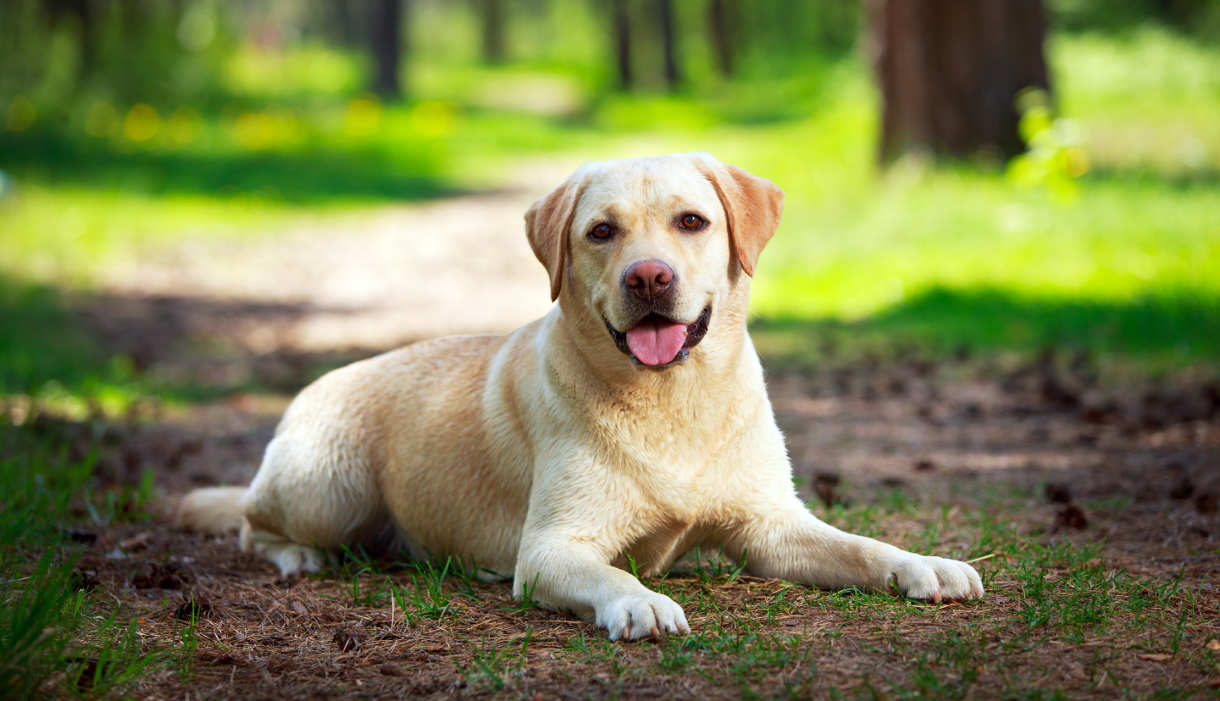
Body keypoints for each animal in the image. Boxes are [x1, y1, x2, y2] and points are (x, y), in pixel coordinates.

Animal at [178, 153, 980, 643]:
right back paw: (297, 556)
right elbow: (611, 570)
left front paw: (925, 564)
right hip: (327, 487)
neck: (671, 400)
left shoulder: (772, 526)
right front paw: (641, 599)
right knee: (252, 524)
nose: (649, 276)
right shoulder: (552, 547)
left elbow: (861, 545)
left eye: (692, 221)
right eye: (601, 231)